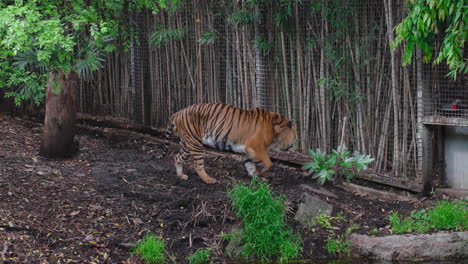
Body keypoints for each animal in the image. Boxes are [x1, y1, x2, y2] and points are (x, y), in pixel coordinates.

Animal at [158, 102, 296, 184]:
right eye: (295, 137)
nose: (293, 146)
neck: (275, 129)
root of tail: (177, 113)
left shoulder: (247, 150)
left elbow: (250, 166)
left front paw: (257, 177)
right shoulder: (255, 147)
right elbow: (268, 163)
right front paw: (261, 174)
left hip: (186, 144)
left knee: (177, 157)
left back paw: (181, 175)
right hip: (195, 143)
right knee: (198, 164)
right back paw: (209, 179)